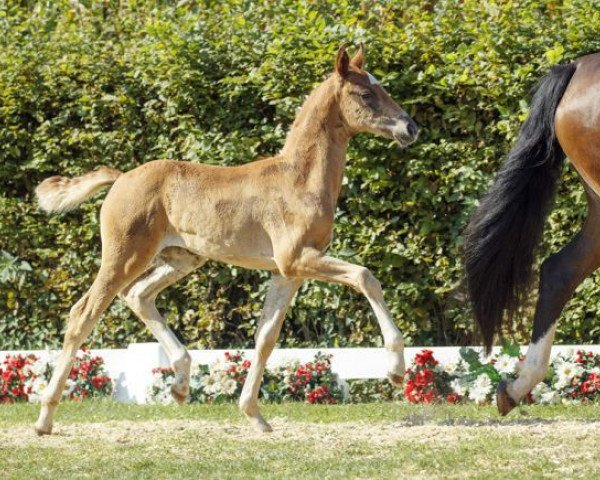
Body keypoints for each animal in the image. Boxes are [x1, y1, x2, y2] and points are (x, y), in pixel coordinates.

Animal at [32, 46, 418, 436]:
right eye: (366, 94)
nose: (410, 127)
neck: (298, 180)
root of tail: (121, 177)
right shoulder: (298, 258)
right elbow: (365, 276)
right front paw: (396, 370)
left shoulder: (288, 272)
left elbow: (265, 338)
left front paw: (255, 415)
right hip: (124, 256)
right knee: (83, 314)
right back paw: (45, 418)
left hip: (182, 258)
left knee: (138, 295)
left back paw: (180, 384)